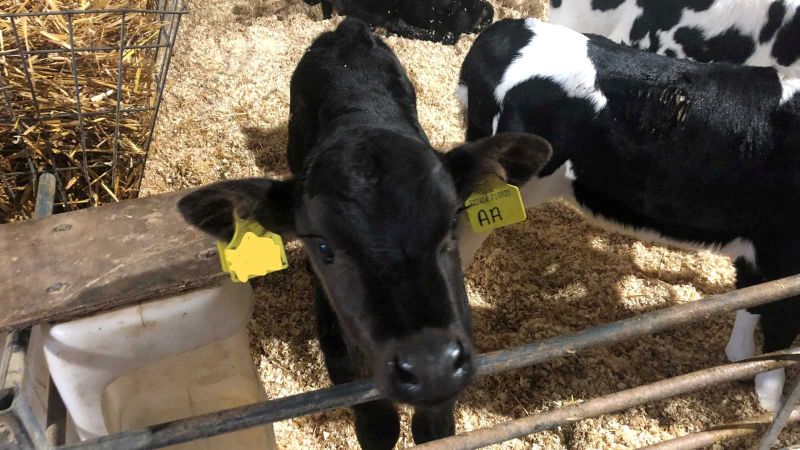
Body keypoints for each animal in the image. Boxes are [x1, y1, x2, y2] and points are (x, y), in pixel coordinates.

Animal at [178, 18, 552, 450]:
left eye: (450, 226)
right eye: (324, 246)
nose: (430, 365)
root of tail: (348, 29)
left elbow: (435, 430)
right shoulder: (344, 367)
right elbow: (378, 428)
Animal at [457, 18, 800, 412]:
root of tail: (499, 35)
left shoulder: (760, 246)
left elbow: (751, 300)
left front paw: (740, 361)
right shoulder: (785, 253)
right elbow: (780, 323)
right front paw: (770, 401)